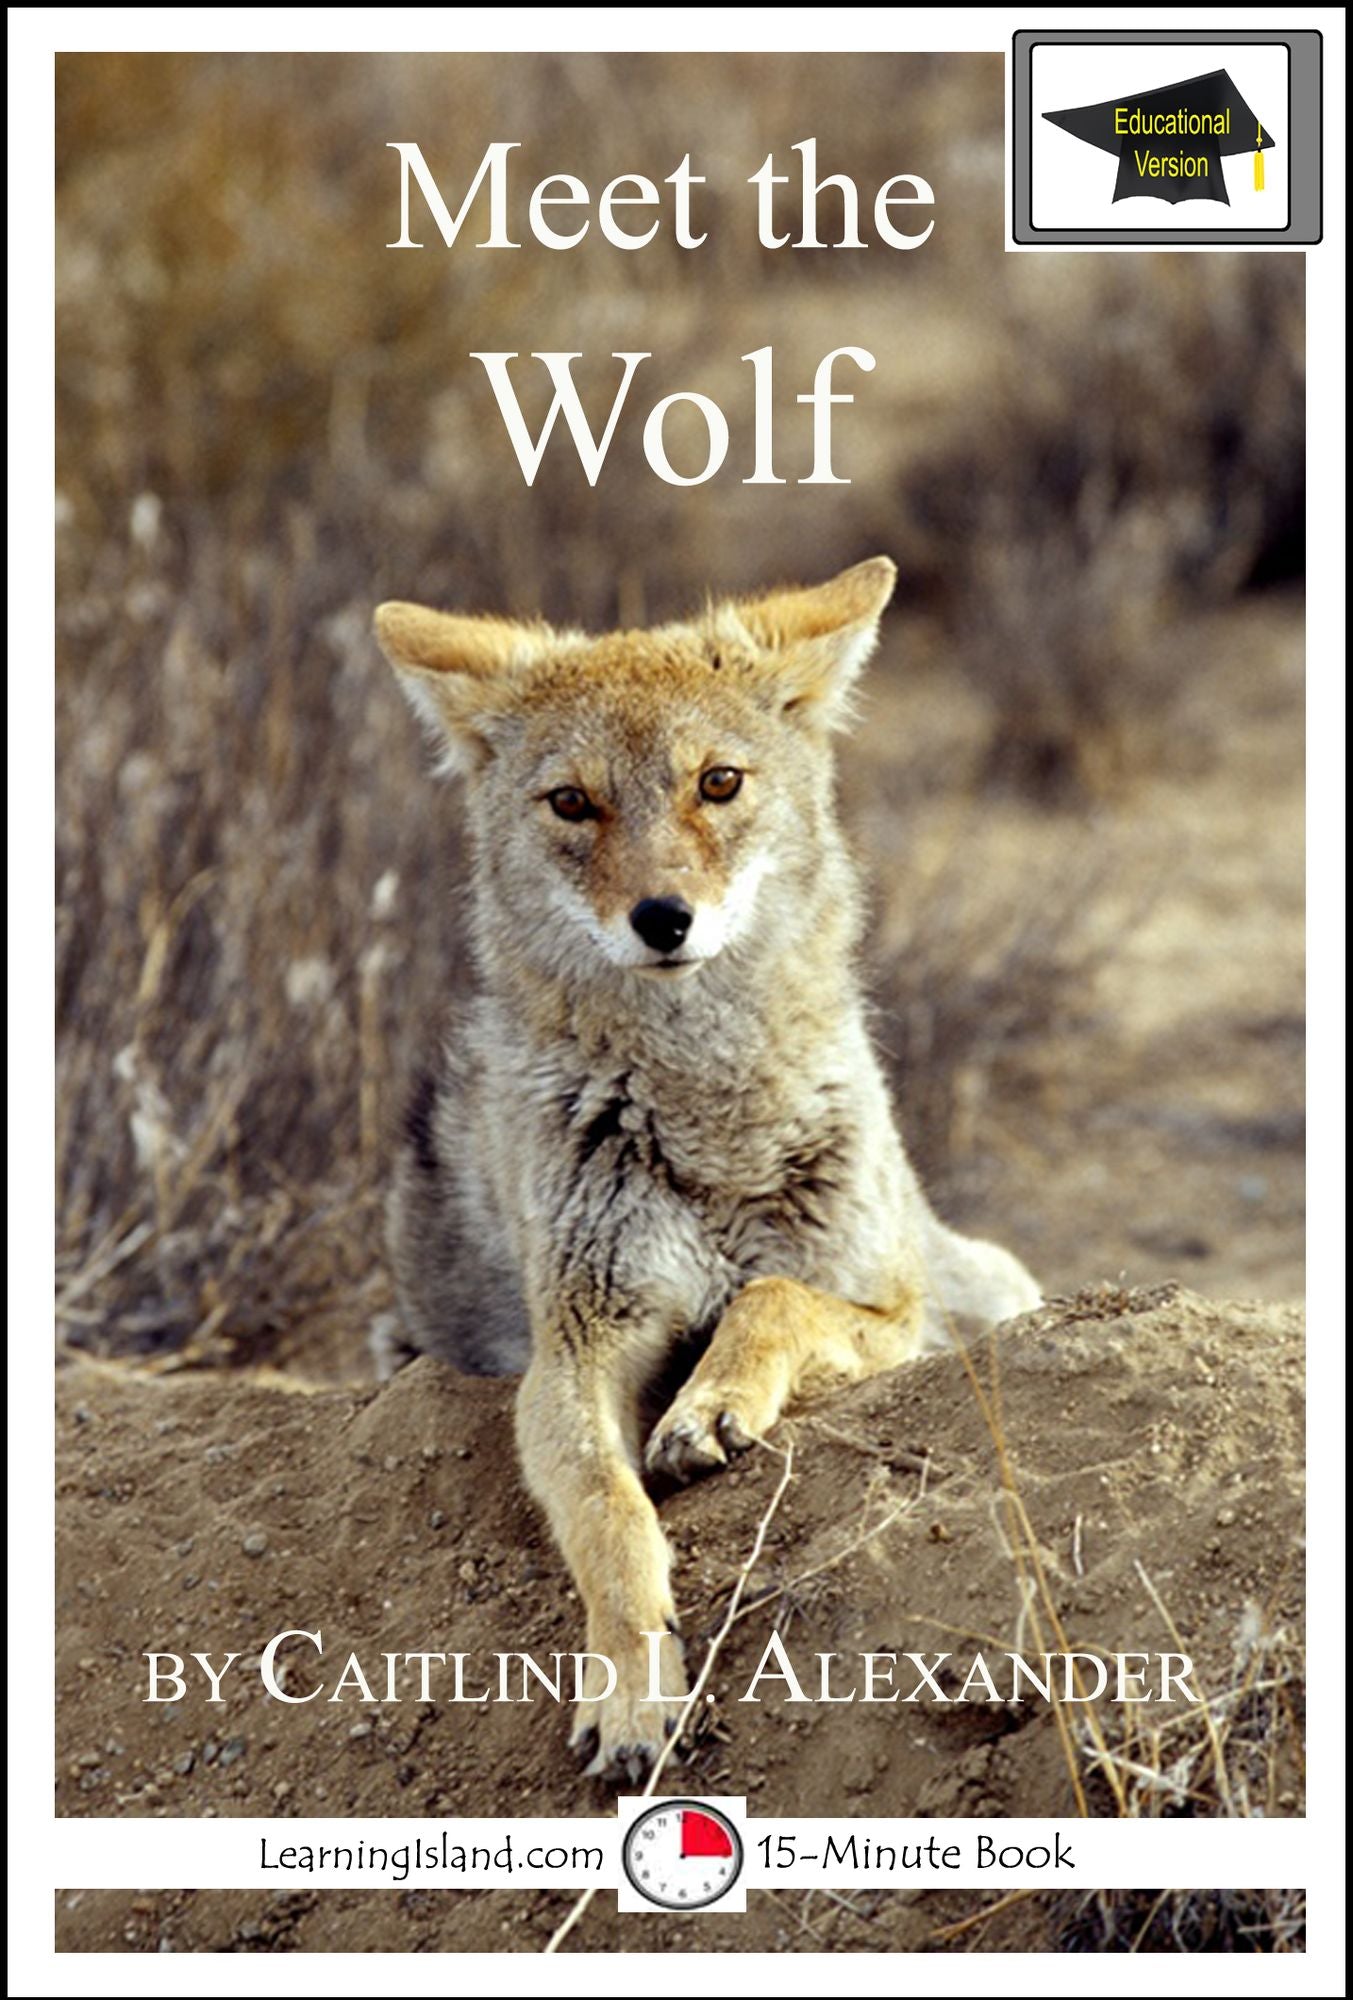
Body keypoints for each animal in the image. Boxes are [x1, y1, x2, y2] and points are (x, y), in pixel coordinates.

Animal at [372, 557, 1040, 1781]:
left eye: (717, 782)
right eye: (573, 803)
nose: (662, 917)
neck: (706, 1115)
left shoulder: (894, 1313)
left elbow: (772, 1295)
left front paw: (712, 1405)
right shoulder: (574, 1357)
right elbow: (609, 1516)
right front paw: (635, 1690)